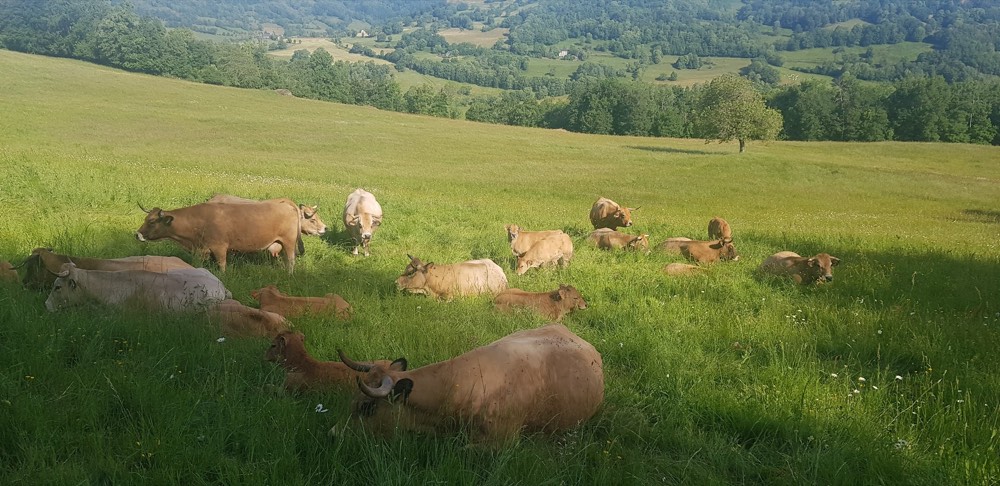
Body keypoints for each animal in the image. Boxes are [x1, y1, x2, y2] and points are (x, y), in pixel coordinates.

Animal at [136, 200, 301, 273]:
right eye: (145, 218)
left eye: (151, 221)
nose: (137, 234)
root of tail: (286, 204)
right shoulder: (202, 250)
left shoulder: (220, 247)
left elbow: (222, 265)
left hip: (289, 242)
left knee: (291, 260)